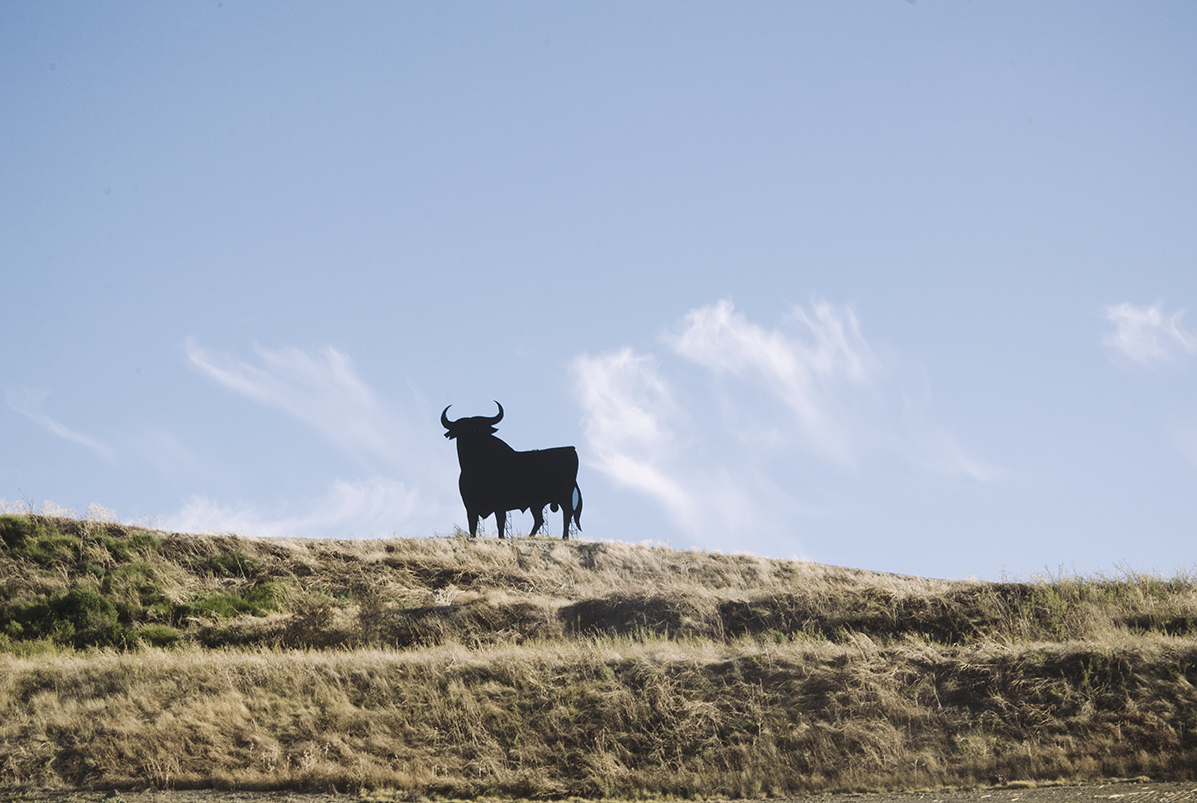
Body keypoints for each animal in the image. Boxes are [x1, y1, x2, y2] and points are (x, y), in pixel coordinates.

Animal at [441, 401, 582, 539]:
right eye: (461, 429)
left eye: (478, 428)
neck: (477, 467)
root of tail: (572, 449)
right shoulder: (470, 505)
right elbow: (472, 524)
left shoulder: (500, 504)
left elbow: (500, 522)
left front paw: (501, 538)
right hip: (536, 503)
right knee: (540, 519)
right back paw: (530, 536)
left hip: (565, 496)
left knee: (567, 514)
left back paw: (564, 537)